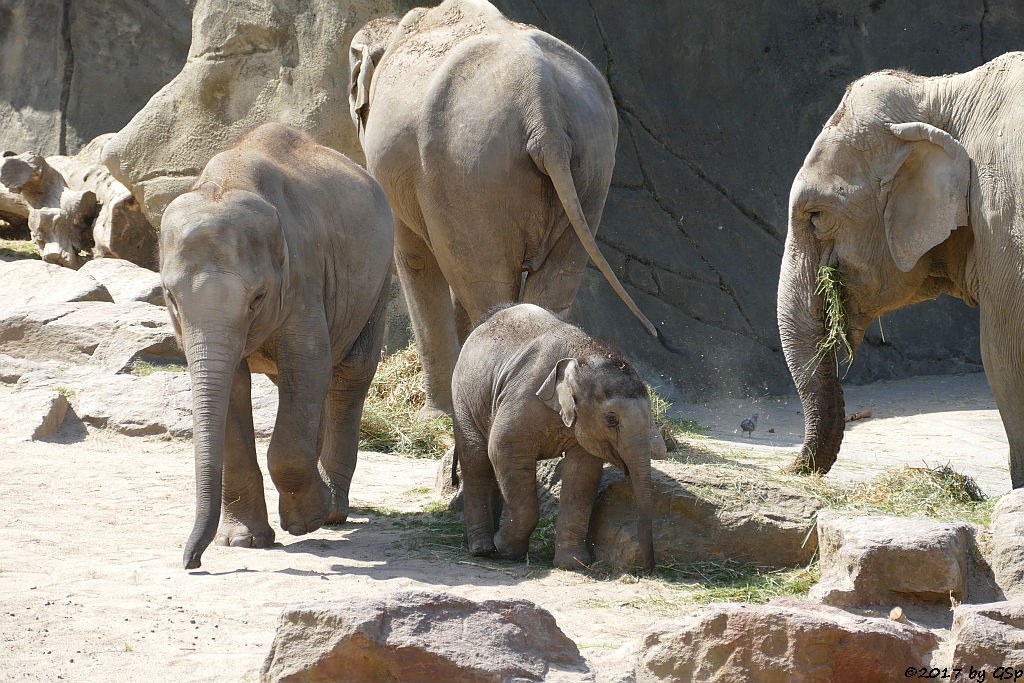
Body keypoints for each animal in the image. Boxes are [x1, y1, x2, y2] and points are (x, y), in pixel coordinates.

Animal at [160, 121, 395, 565]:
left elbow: (308, 364)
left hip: (380, 280)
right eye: (170, 297)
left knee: (349, 375)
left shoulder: (303, 275)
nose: (191, 561)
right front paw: (243, 541)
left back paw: (334, 510)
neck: (227, 179)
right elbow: (233, 388)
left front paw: (306, 522)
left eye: (258, 297)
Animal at [350, 0, 671, 421]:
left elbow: (414, 259)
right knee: (552, 286)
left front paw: (434, 417)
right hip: (591, 165)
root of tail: (542, 107)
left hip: (469, 165)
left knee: (486, 287)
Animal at [454, 305, 659, 573]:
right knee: (477, 460)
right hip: (462, 397)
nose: (648, 569)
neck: (584, 352)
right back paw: (483, 549)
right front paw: (507, 550)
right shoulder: (525, 398)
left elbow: (583, 473)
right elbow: (502, 451)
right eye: (611, 419)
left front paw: (573, 564)